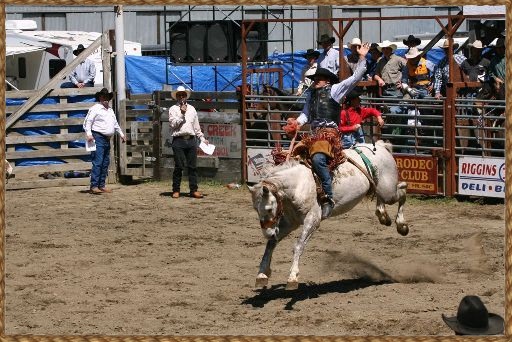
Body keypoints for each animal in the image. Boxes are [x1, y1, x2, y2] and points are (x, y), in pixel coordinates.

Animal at [248, 140, 408, 290]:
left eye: (269, 208)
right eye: (256, 209)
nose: (268, 233)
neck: (298, 185)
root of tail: (380, 146)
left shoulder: (313, 220)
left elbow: (299, 245)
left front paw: (292, 277)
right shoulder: (290, 223)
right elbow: (271, 244)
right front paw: (262, 274)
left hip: (388, 192)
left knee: (403, 189)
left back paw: (402, 225)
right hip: (381, 189)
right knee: (386, 197)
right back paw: (383, 215)